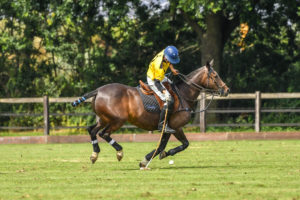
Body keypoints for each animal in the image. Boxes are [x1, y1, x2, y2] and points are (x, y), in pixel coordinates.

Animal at [71, 59, 230, 167]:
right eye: (215, 75)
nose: (226, 90)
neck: (184, 94)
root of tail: (98, 90)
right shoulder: (174, 126)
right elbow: (172, 145)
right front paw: (147, 159)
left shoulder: (171, 128)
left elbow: (177, 144)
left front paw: (161, 155)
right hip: (117, 120)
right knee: (103, 133)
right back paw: (119, 152)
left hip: (104, 118)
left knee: (92, 130)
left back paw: (94, 154)